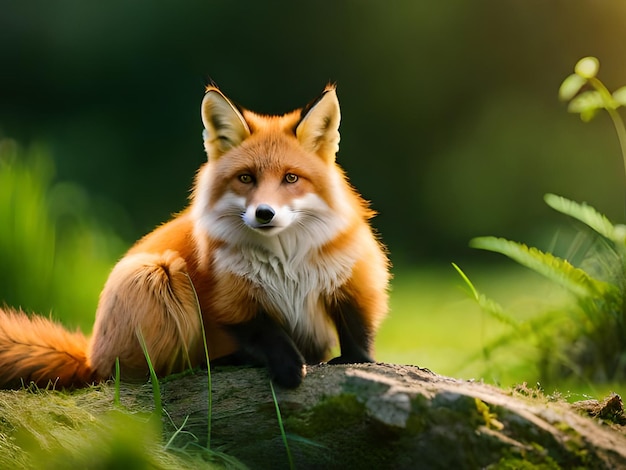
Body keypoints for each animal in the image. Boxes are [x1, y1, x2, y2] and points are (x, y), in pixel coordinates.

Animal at [0, 84, 388, 390]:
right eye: (246, 178)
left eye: (291, 178)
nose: (264, 213)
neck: (286, 261)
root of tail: (92, 354)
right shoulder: (231, 302)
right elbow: (266, 333)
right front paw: (289, 367)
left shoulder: (354, 279)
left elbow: (358, 332)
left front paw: (360, 364)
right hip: (156, 275)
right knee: (153, 374)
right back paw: (224, 362)